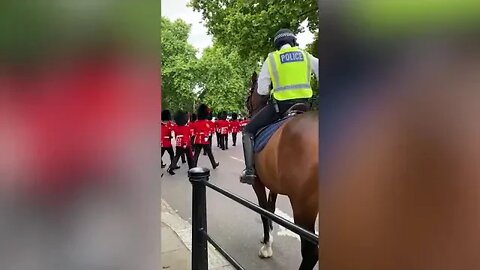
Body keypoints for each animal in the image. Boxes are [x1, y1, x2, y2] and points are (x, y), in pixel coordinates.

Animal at [248, 73, 318, 268]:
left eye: (250, 91)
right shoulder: (274, 183)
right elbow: (271, 209)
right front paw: (268, 238)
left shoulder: (258, 182)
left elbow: (263, 211)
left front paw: (266, 246)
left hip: (303, 207)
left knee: (310, 252)